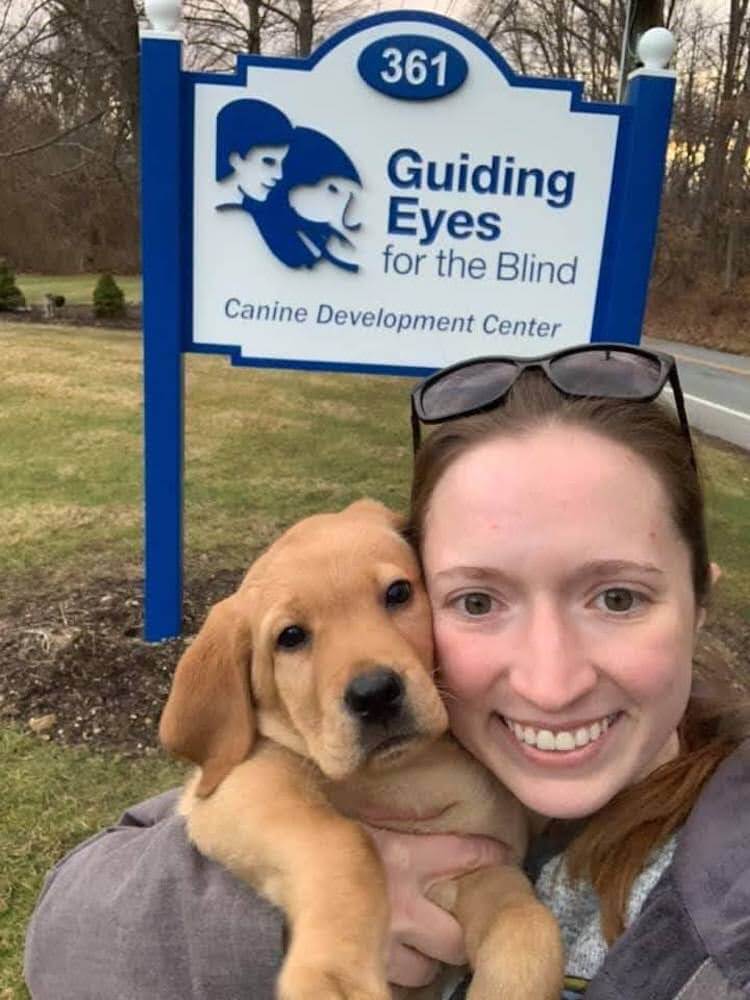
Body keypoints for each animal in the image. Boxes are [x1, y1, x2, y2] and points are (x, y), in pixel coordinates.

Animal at [162, 500, 568, 1000]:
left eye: (398, 592)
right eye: (290, 637)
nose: (374, 694)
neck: (408, 773)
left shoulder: (483, 866)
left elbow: (527, 919)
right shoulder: (240, 786)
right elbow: (345, 841)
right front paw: (333, 974)